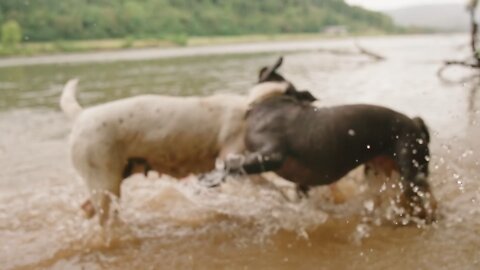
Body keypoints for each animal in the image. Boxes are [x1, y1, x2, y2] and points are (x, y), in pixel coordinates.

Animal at [60, 78, 292, 226]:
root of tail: (82, 115)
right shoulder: (234, 164)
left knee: (87, 209)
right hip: (104, 185)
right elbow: (274, 190)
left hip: (111, 183)